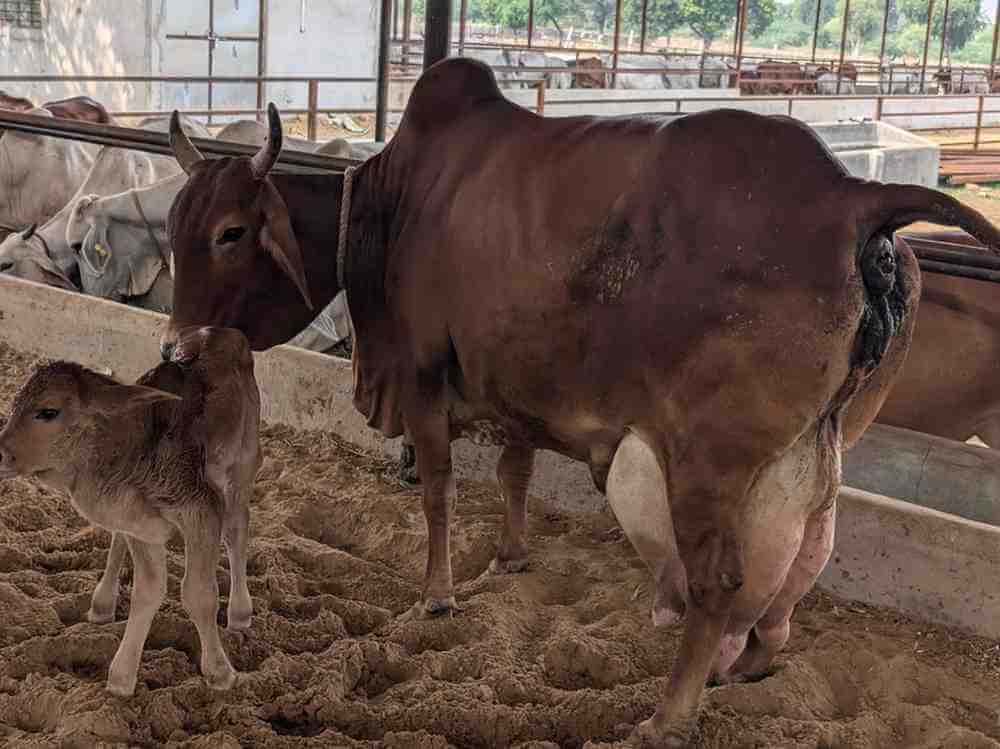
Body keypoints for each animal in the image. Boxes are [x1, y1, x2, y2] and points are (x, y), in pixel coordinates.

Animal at [0, 326, 261, 697]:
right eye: (14, 405)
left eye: (48, 412)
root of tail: (222, 331)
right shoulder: (140, 523)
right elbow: (147, 591)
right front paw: (122, 677)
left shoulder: (203, 508)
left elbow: (198, 593)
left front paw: (220, 672)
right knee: (117, 542)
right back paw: (103, 602)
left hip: (244, 464)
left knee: (237, 530)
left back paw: (240, 611)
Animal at [158, 59, 1000, 743]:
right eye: (172, 226)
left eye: (231, 231)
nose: (174, 347)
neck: (389, 205)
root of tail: (854, 196)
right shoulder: (514, 380)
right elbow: (515, 473)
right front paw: (510, 555)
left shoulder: (425, 375)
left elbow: (438, 491)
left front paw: (438, 593)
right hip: (823, 446)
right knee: (797, 570)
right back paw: (744, 666)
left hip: (709, 459)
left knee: (718, 584)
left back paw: (668, 714)